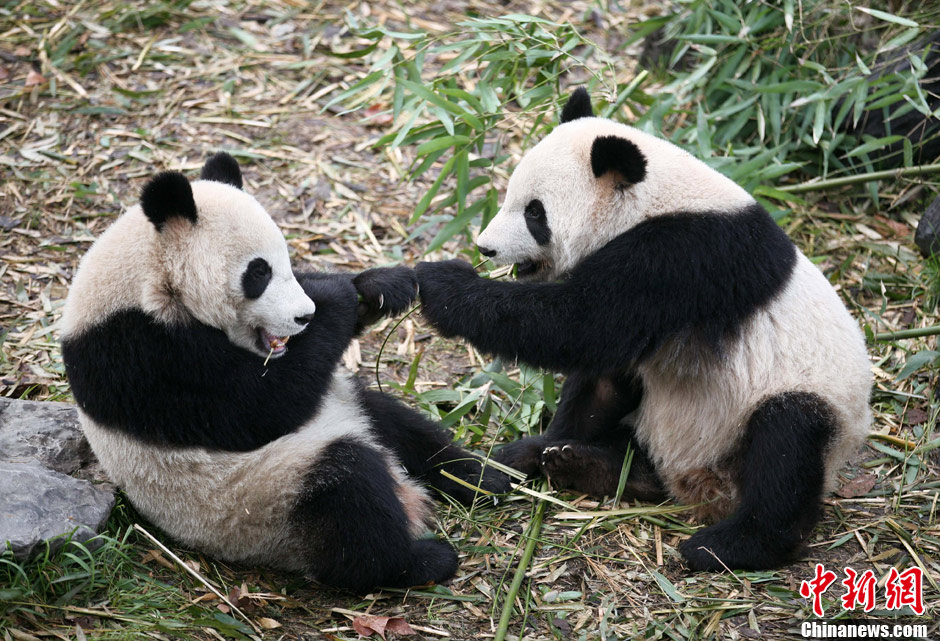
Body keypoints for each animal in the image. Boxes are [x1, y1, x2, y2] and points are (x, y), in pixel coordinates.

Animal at [58, 154, 506, 592]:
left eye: (287, 262)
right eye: (259, 272)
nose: (303, 316)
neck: (147, 277)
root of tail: (406, 492)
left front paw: (380, 287)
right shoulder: (144, 355)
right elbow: (261, 406)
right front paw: (339, 297)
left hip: (344, 405)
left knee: (397, 423)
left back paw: (482, 478)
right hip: (259, 503)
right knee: (348, 494)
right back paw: (419, 562)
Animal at [418, 90, 872, 568]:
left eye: (535, 212)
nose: (486, 247)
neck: (648, 201)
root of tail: (698, 483)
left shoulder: (685, 256)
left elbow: (580, 323)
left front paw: (442, 285)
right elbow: (601, 370)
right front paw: (539, 447)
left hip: (803, 406)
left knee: (786, 445)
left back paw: (726, 545)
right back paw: (589, 465)